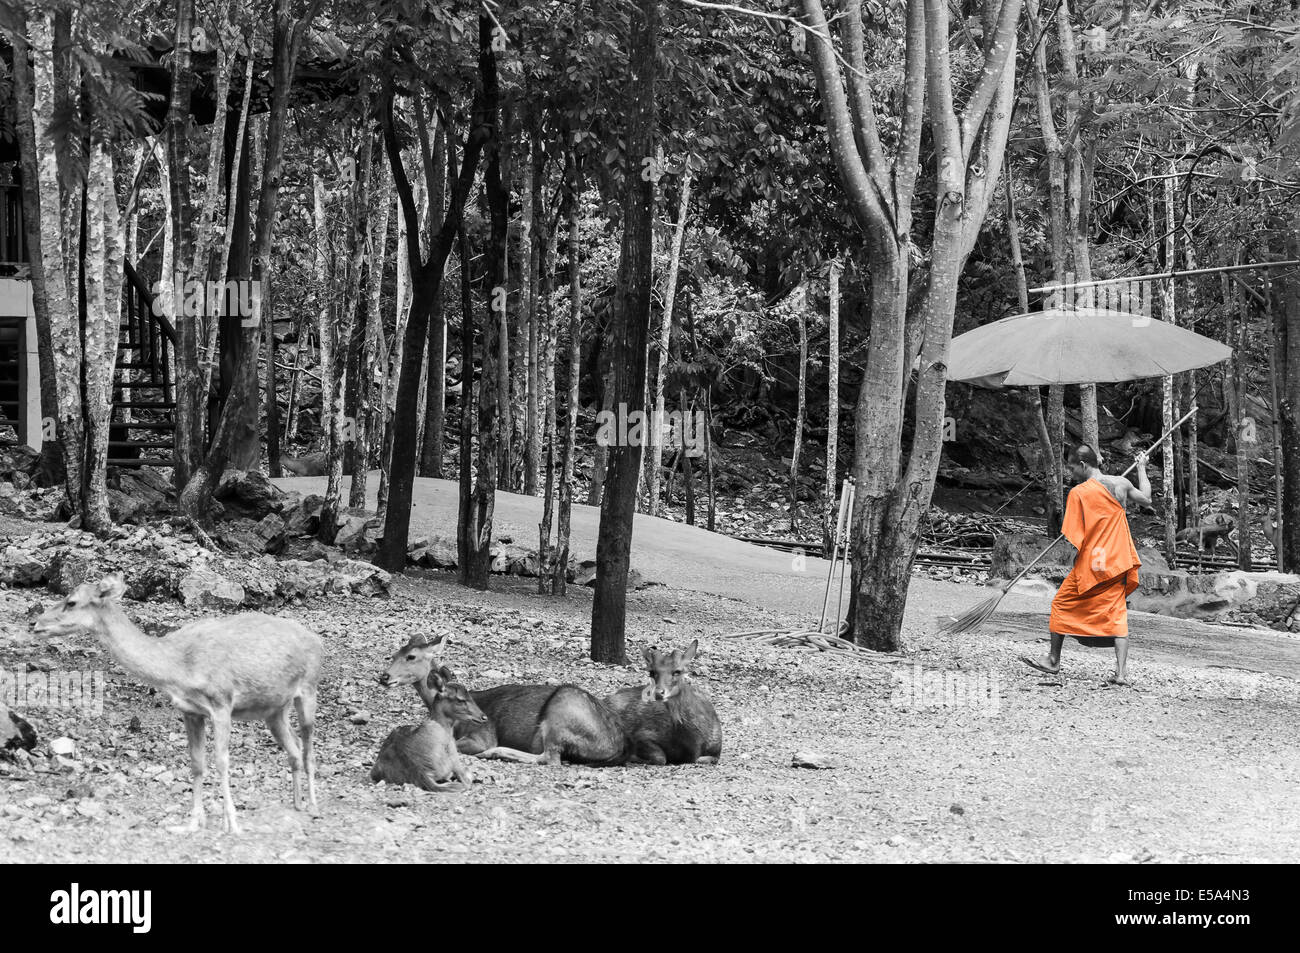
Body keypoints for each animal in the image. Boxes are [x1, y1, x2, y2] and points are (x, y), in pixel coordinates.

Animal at [32, 572, 322, 832]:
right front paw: (193, 823)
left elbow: (221, 761)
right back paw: (296, 803)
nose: (36, 624)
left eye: (71, 602)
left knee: (308, 747)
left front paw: (232, 824)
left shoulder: (222, 702)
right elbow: (196, 764)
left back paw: (313, 804)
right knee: (294, 747)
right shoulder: (190, 711)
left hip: (309, 688)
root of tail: (316, 640)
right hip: (274, 710)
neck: (178, 667)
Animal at [379, 631, 629, 764]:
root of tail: (615, 747)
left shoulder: (481, 735)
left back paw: (495, 753)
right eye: (393, 654)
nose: (384, 677)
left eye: (411, 656)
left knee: (549, 757)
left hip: (561, 712)